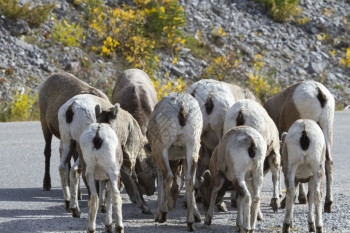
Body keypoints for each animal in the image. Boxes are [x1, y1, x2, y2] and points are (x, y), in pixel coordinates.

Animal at [146, 93, 202, 231]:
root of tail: (181, 107)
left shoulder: (156, 157)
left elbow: (160, 182)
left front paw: (158, 214)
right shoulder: (184, 158)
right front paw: (197, 217)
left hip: (162, 148)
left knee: (169, 176)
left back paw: (163, 214)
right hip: (192, 147)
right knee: (189, 180)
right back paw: (190, 223)